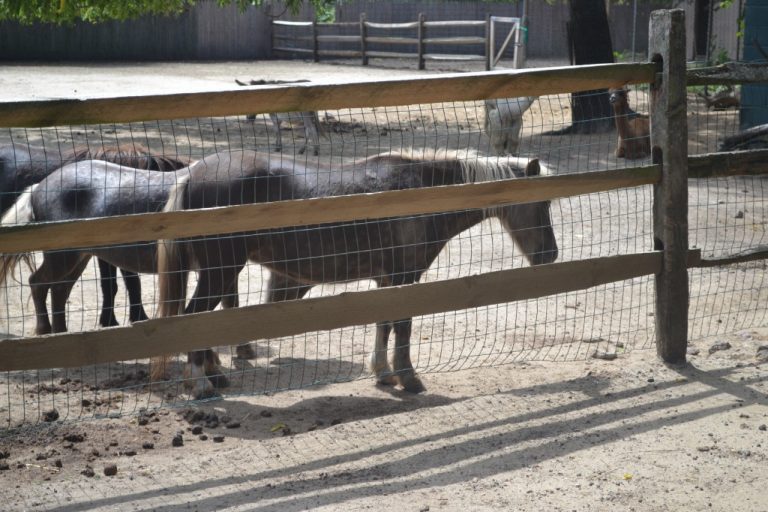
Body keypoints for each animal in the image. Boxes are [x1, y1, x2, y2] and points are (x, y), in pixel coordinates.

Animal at [154, 150, 560, 398]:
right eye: (541, 203)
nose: (551, 254)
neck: (419, 193)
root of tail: (193, 174)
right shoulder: (404, 277)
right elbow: (403, 326)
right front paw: (409, 377)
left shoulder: (387, 280)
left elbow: (384, 324)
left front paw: (383, 372)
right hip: (220, 270)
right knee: (193, 318)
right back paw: (201, 384)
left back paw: (213, 375)